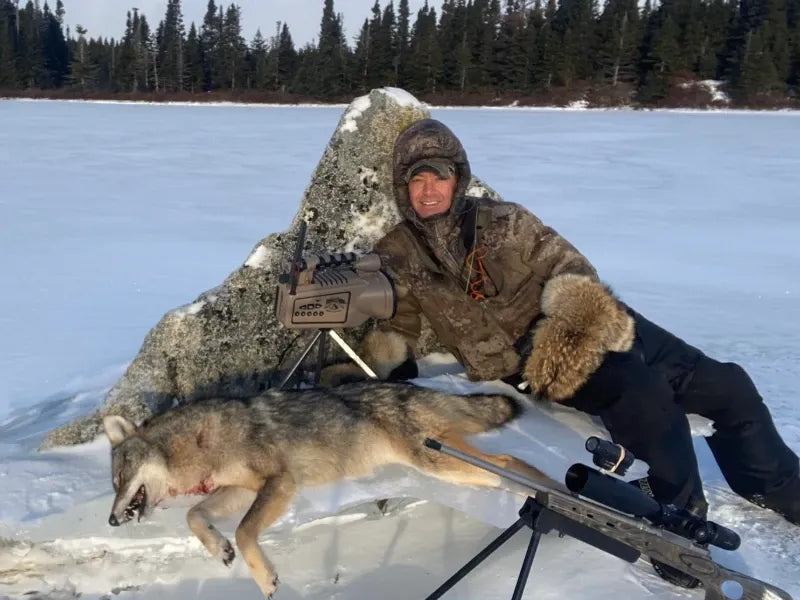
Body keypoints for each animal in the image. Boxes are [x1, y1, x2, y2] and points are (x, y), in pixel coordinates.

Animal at [103, 380, 549, 598]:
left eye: (119, 478)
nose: (109, 520)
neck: (199, 444)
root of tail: (414, 388)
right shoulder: (242, 491)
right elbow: (194, 515)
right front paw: (219, 548)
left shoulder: (280, 482)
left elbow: (245, 532)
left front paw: (265, 580)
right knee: (512, 462)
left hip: (440, 464)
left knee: (506, 467)